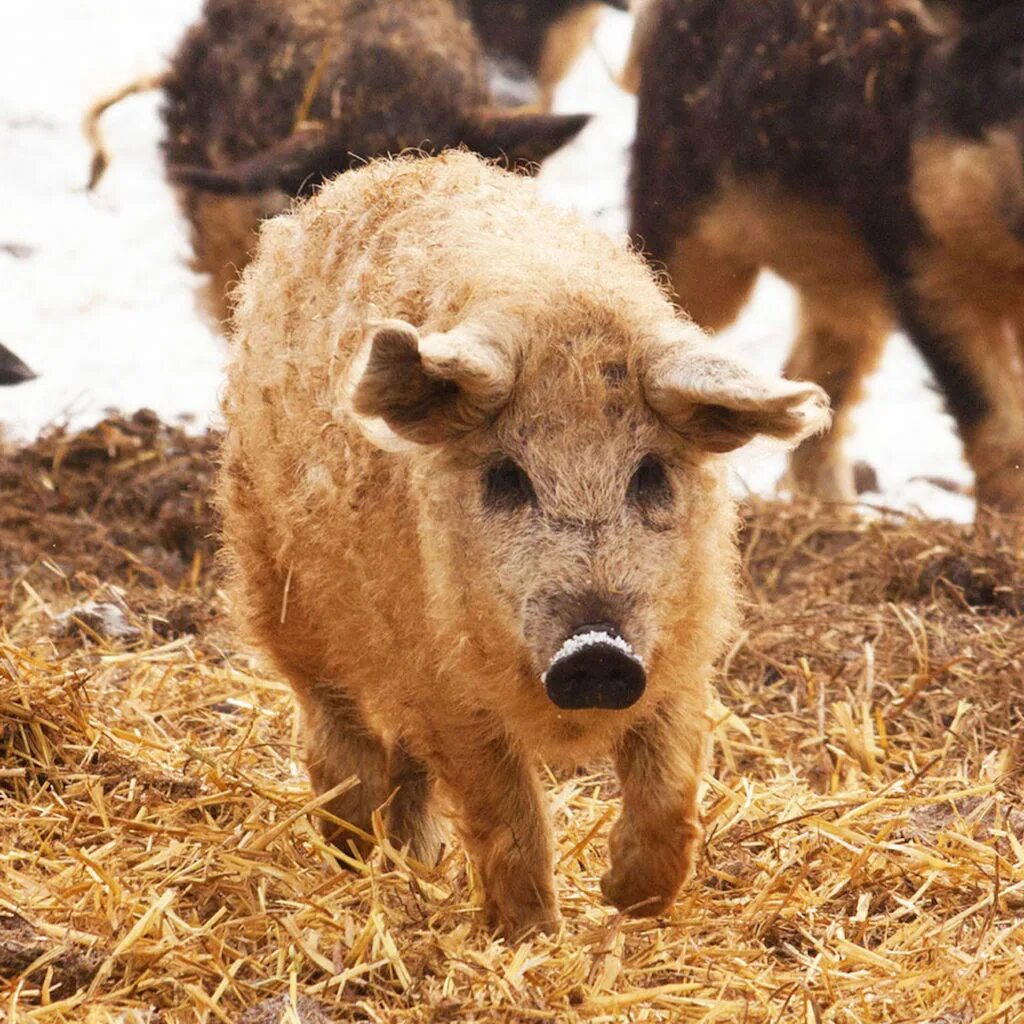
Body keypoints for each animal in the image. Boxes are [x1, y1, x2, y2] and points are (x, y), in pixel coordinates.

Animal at [218, 149, 831, 937]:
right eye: (507, 476)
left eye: (650, 473)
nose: (596, 652)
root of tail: (360, 178)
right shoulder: (447, 684)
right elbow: (508, 815)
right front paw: (533, 936)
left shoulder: (680, 653)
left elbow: (670, 789)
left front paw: (626, 901)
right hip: (277, 579)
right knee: (337, 735)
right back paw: (355, 856)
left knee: (403, 759)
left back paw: (419, 859)